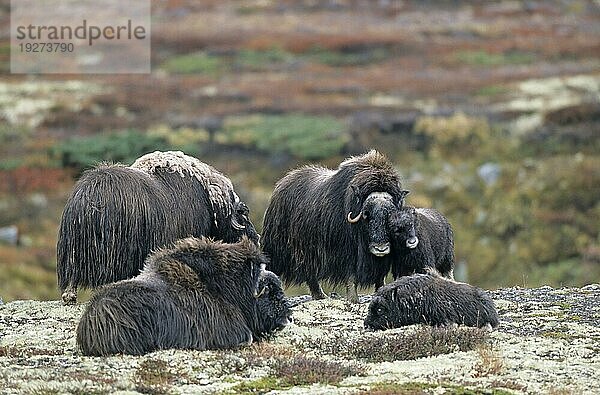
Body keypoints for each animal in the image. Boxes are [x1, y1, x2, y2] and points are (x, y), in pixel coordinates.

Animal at [264, 150, 408, 302]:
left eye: (390, 215)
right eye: (366, 214)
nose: (381, 249)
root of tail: (281, 184)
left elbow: (380, 277)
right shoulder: (347, 251)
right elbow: (351, 275)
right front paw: (353, 299)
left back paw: (320, 296)